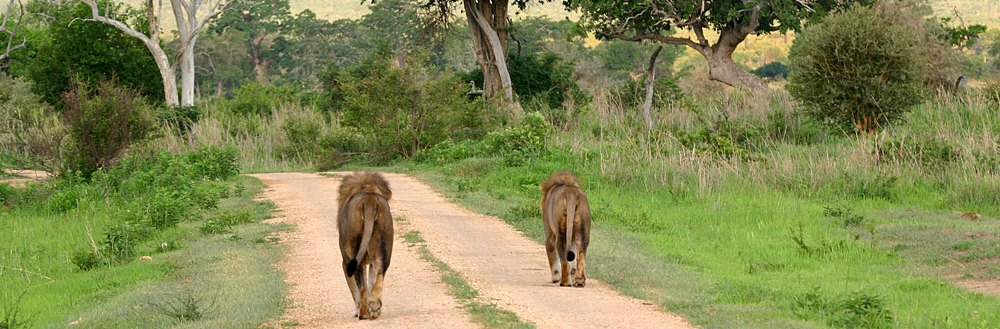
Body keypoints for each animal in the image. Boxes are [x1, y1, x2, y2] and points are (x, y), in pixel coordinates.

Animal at [340, 172, 394, 318]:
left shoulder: (345, 262)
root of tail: (370, 201)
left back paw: (363, 313)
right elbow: (370, 281)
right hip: (385, 246)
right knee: (380, 272)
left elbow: (355, 290)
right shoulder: (369, 262)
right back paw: (374, 307)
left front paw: (356, 311)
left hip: (354, 252)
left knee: (362, 288)